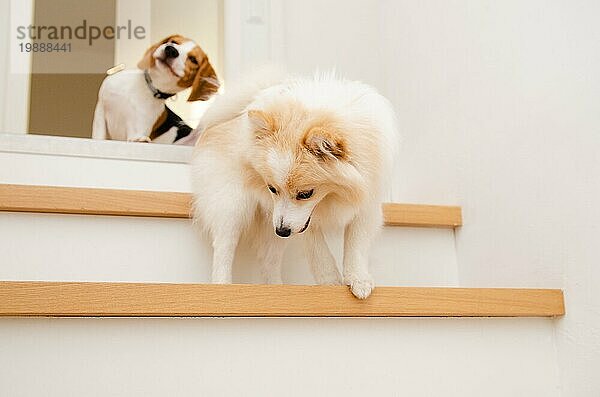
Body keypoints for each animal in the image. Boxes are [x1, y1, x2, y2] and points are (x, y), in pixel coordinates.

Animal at [192, 71, 398, 296]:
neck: (333, 197)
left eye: (305, 194)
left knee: (268, 260)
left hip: (269, 222)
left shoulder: (366, 202)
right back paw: (222, 286)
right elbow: (318, 251)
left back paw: (277, 289)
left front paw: (358, 279)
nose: (282, 231)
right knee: (223, 247)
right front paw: (330, 281)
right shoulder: (303, 222)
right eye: (272, 189)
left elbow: (356, 245)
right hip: (233, 206)